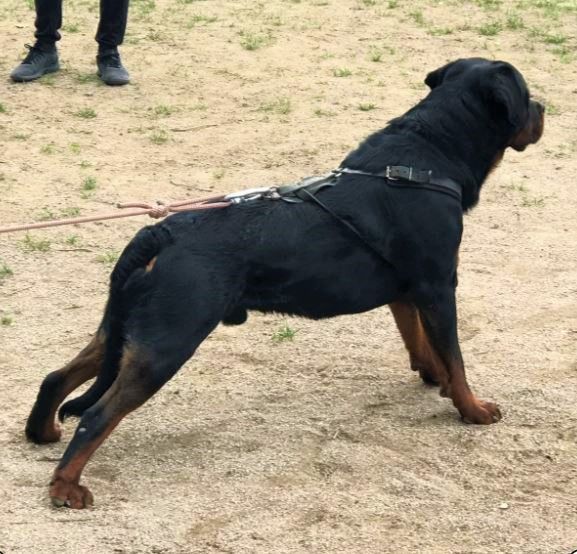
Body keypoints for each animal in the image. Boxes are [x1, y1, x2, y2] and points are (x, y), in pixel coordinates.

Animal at [24, 58, 544, 506]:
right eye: (526, 94)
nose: (543, 109)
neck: (429, 155)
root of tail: (161, 231)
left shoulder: (407, 291)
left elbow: (418, 340)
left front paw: (432, 377)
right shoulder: (438, 285)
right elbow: (456, 357)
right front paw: (472, 408)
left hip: (129, 329)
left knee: (59, 375)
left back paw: (41, 432)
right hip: (168, 339)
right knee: (96, 416)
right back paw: (66, 487)